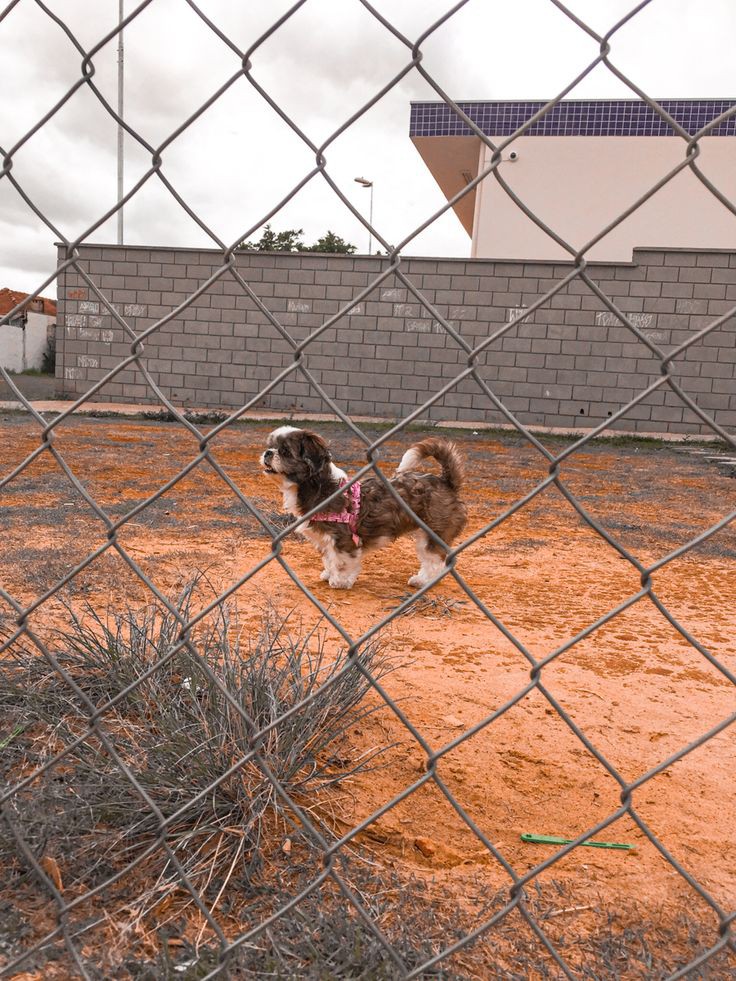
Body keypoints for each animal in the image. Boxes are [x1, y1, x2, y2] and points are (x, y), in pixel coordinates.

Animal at [260, 424, 466, 588]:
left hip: (433, 534)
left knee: (434, 561)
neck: (318, 488)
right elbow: (329, 559)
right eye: (270, 446)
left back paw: (424, 581)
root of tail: (446, 482)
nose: (268, 453)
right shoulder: (325, 540)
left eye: (285, 451)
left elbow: (342, 562)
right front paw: (329, 574)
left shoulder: (342, 538)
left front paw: (340, 581)